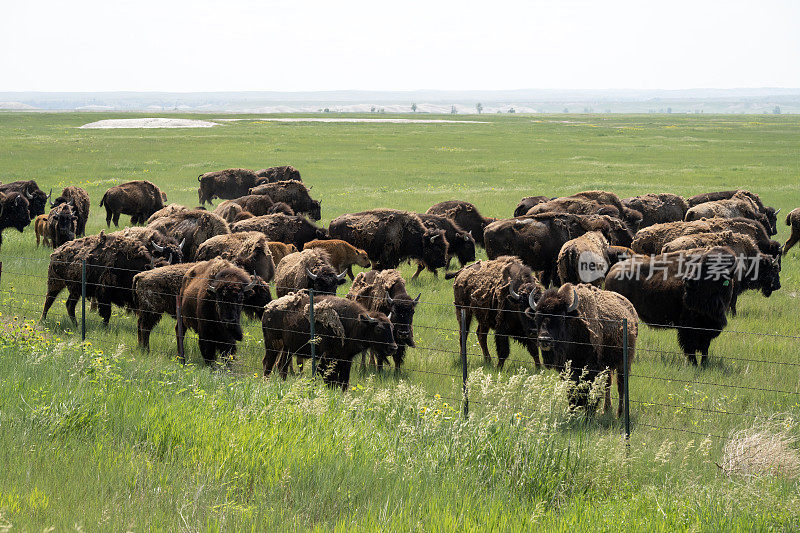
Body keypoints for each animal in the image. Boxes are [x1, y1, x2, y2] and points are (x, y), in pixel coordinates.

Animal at [260, 290, 396, 390]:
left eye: (392, 327)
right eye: (378, 329)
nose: (393, 347)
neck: (355, 324)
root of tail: (267, 309)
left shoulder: (346, 359)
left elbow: (344, 381)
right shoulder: (328, 357)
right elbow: (330, 378)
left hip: (287, 348)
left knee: (281, 366)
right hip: (272, 345)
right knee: (268, 363)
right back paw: (266, 383)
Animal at [532, 282, 636, 416]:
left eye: (561, 318)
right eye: (536, 318)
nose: (544, 339)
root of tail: (631, 309)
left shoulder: (593, 369)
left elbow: (591, 392)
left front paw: (589, 413)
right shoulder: (568, 370)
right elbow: (572, 392)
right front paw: (573, 412)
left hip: (624, 362)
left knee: (621, 385)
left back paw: (620, 413)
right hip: (608, 365)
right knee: (608, 384)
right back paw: (606, 410)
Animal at [608, 246, 736, 366]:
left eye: (710, 268)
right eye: (700, 264)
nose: (689, 280)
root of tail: (613, 270)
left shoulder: (708, 326)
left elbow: (705, 348)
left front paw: (703, 364)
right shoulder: (688, 326)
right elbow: (690, 347)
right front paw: (694, 364)